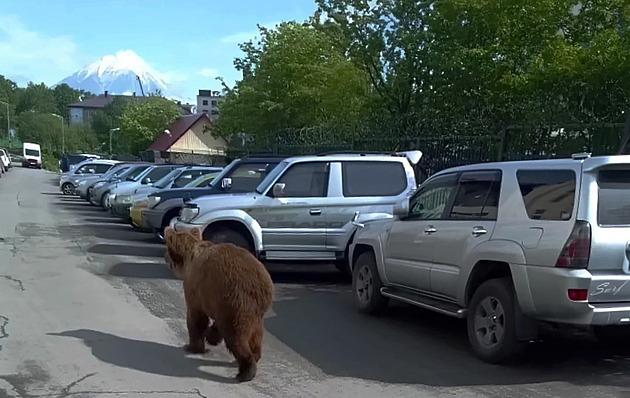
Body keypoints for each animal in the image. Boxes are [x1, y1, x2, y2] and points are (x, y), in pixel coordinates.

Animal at [163, 225, 274, 380]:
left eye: (166, 249)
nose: (164, 257)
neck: (189, 259)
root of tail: (260, 285)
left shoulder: (196, 289)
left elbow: (196, 318)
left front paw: (192, 346)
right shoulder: (215, 301)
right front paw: (211, 337)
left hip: (237, 300)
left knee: (235, 335)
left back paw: (245, 371)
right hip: (256, 310)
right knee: (256, 334)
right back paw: (254, 355)